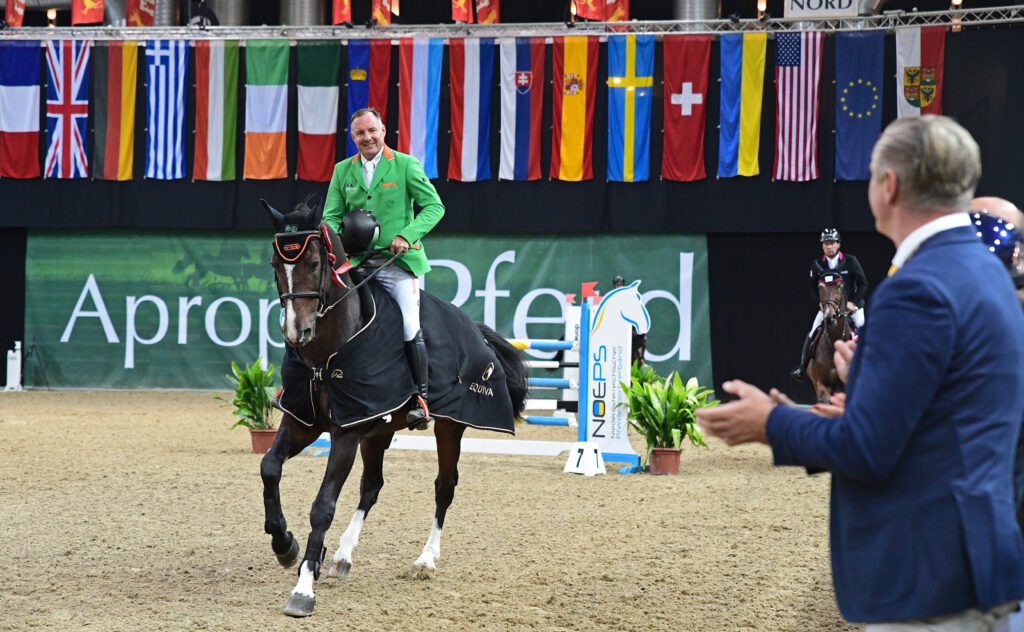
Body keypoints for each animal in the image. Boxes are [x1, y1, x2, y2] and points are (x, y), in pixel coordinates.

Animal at [256, 198, 528, 614]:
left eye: (314, 264)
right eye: (275, 264)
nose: (296, 332)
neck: (326, 354)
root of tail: (474, 329)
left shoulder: (346, 433)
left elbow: (323, 505)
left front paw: (303, 588)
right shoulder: (304, 422)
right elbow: (269, 467)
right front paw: (285, 544)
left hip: (448, 426)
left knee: (444, 487)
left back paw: (425, 560)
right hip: (378, 429)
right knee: (372, 486)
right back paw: (343, 556)